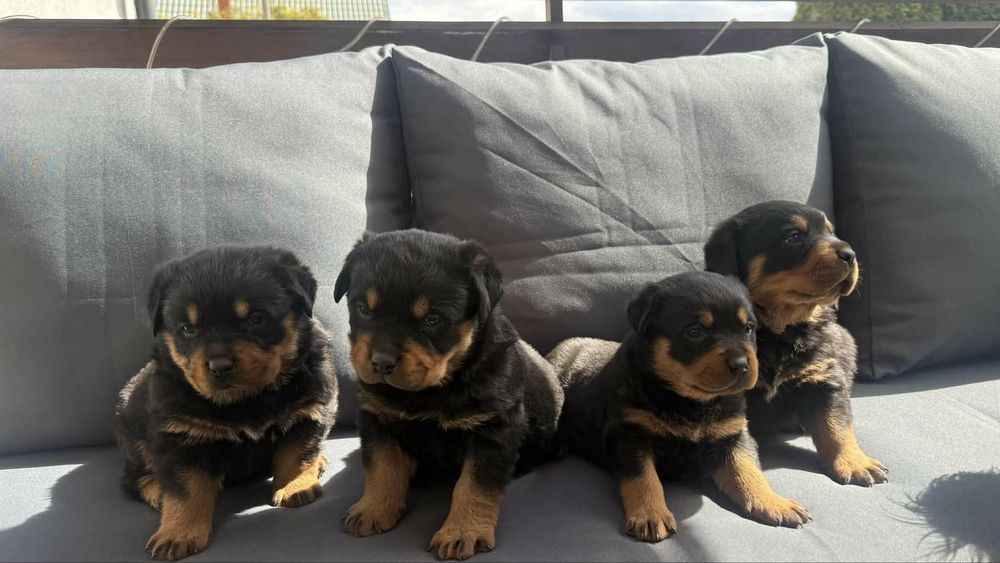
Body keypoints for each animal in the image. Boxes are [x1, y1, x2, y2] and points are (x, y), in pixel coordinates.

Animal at [115, 246, 337, 561]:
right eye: (188, 328)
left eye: (256, 319)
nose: (219, 365)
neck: (246, 400)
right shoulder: (179, 437)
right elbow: (185, 490)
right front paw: (178, 532)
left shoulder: (309, 412)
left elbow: (297, 455)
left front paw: (295, 486)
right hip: (132, 434)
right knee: (134, 479)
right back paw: (158, 492)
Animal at [334, 230, 563, 561]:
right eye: (363, 309)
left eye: (432, 319)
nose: (381, 362)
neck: (431, 390)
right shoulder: (378, 419)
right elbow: (382, 468)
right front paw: (373, 509)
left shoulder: (493, 428)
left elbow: (474, 486)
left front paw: (462, 532)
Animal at [557, 271, 810, 542]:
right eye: (694, 332)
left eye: (748, 329)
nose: (742, 364)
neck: (692, 402)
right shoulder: (628, 433)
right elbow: (643, 476)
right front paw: (650, 514)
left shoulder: (732, 433)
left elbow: (747, 469)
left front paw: (773, 502)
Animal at [704, 200, 887, 486]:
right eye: (793, 237)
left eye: (831, 232)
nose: (850, 254)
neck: (779, 331)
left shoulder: (823, 377)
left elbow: (836, 425)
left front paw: (855, 462)